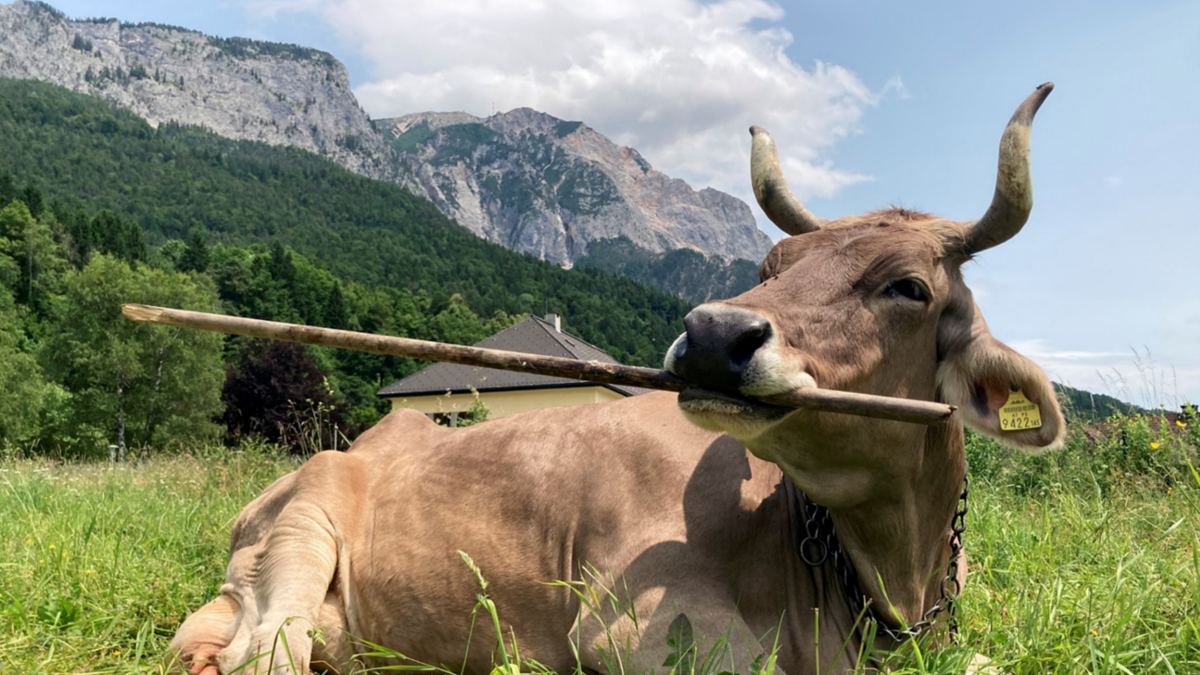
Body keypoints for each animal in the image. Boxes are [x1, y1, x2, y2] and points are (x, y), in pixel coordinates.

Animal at [172, 83, 1064, 675]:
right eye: (772, 265)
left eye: (908, 287)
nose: (712, 335)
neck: (891, 582)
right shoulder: (636, 631)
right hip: (302, 531)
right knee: (258, 655)